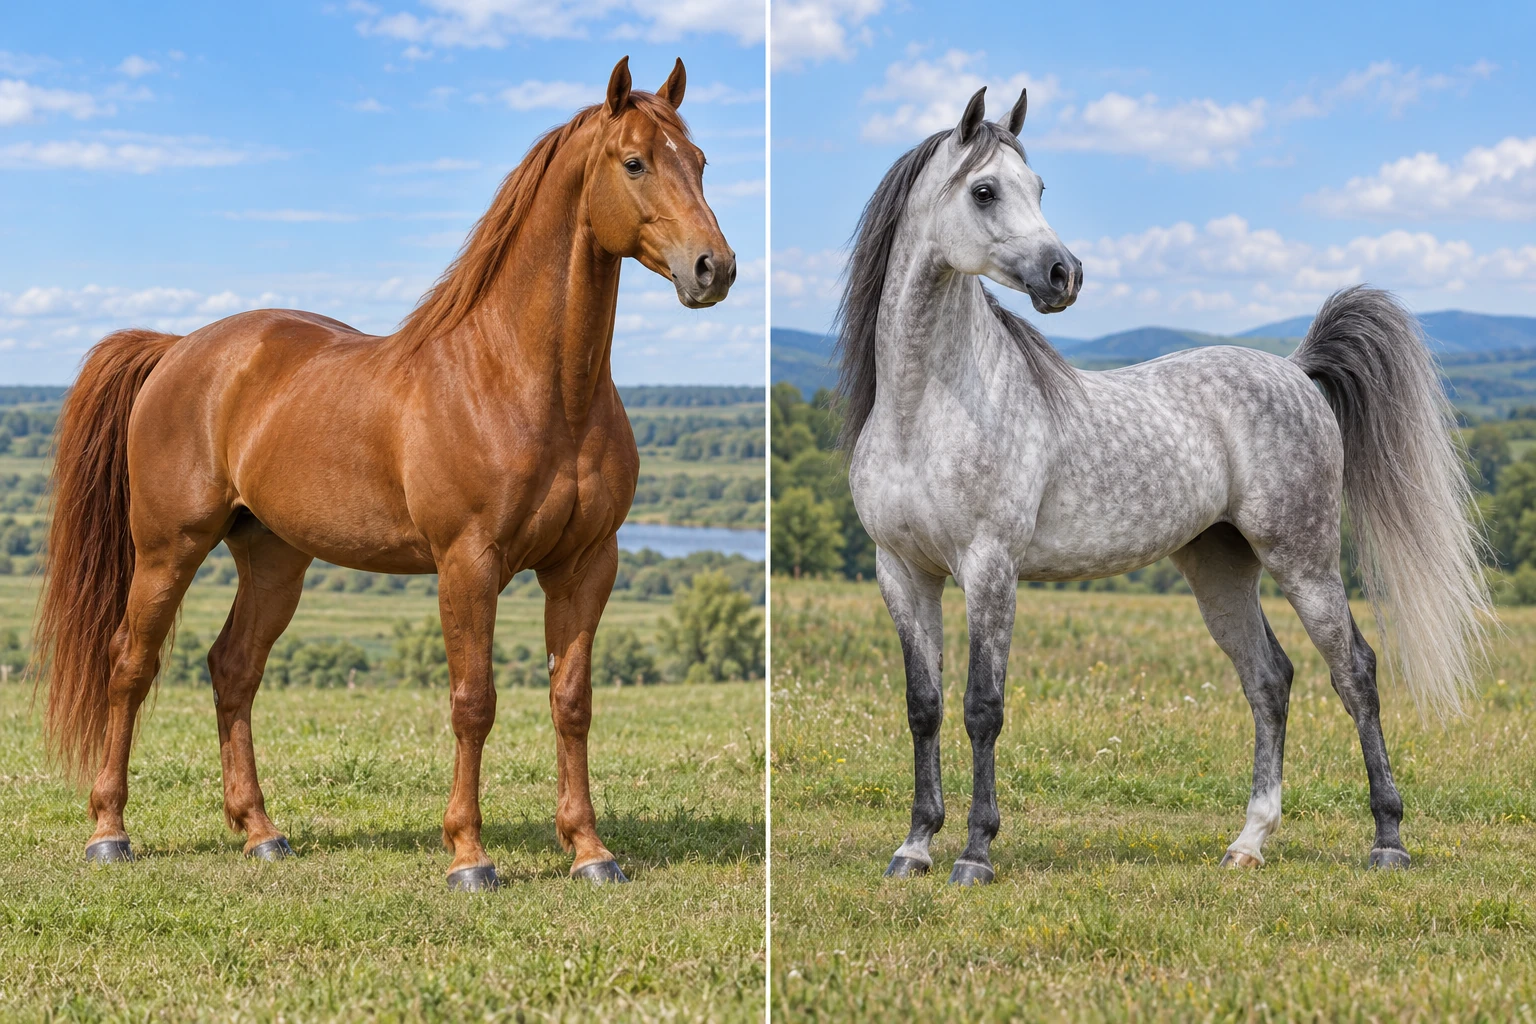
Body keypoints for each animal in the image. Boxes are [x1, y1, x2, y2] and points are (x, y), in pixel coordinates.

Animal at [33, 56, 736, 890]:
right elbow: (474, 702)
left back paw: (260, 832)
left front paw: (590, 850)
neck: (524, 382)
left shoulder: (586, 564)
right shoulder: (468, 565)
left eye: (700, 162)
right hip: (168, 548)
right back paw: (109, 830)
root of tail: (178, 349)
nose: (714, 268)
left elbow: (572, 701)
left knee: (233, 668)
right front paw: (469, 855)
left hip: (273, 558)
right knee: (129, 665)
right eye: (634, 162)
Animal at [836, 85, 1489, 885]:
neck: (923, 409)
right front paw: (914, 846)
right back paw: (1248, 842)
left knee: (1355, 672)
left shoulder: (989, 567)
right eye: (985, 190)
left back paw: (1388, 840)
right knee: (1270, 680)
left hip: (1302, 559)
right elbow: (923, 706)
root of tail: (1297, 370)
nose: (1065, 275)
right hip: (1219, 567)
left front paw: (975, 853)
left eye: (1040, 187)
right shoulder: (902, 571)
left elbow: (981, 706)